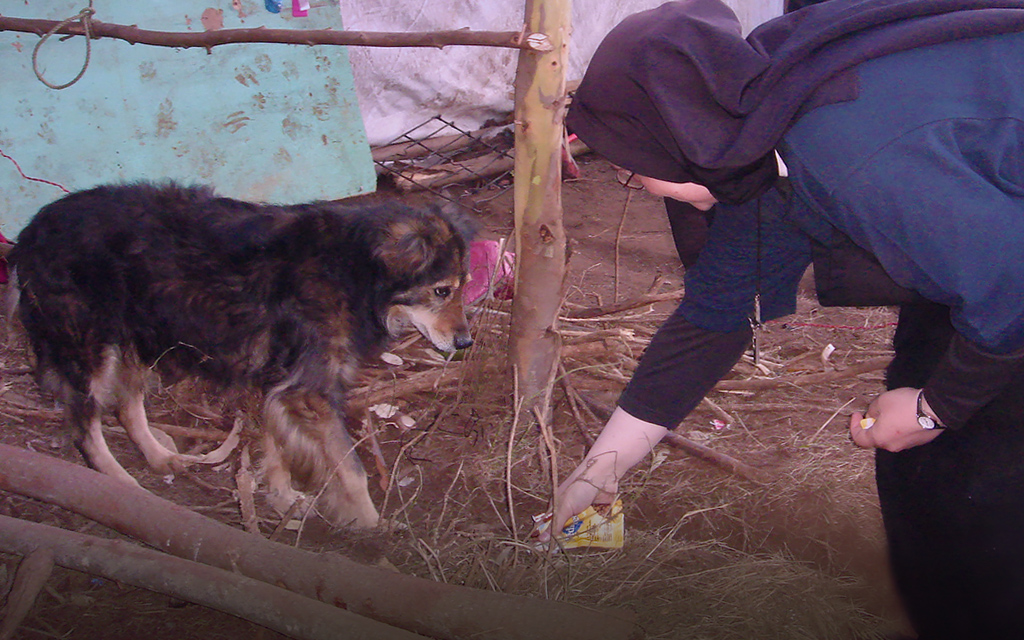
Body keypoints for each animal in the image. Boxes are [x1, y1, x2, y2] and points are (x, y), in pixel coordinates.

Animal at [6, 181, 477, 528]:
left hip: (138, 336)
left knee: (126, 404)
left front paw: (284, 498)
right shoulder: (309, 391)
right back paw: (123, 487)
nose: (465, 343)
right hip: (89, 351)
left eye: (462, 286)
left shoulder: (273, 381)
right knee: (85, 428)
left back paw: (159, 457)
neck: (354, 269)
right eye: (441, 291)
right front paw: (369, 524)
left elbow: (275, 449)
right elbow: (351, 468)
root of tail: (28, 233)